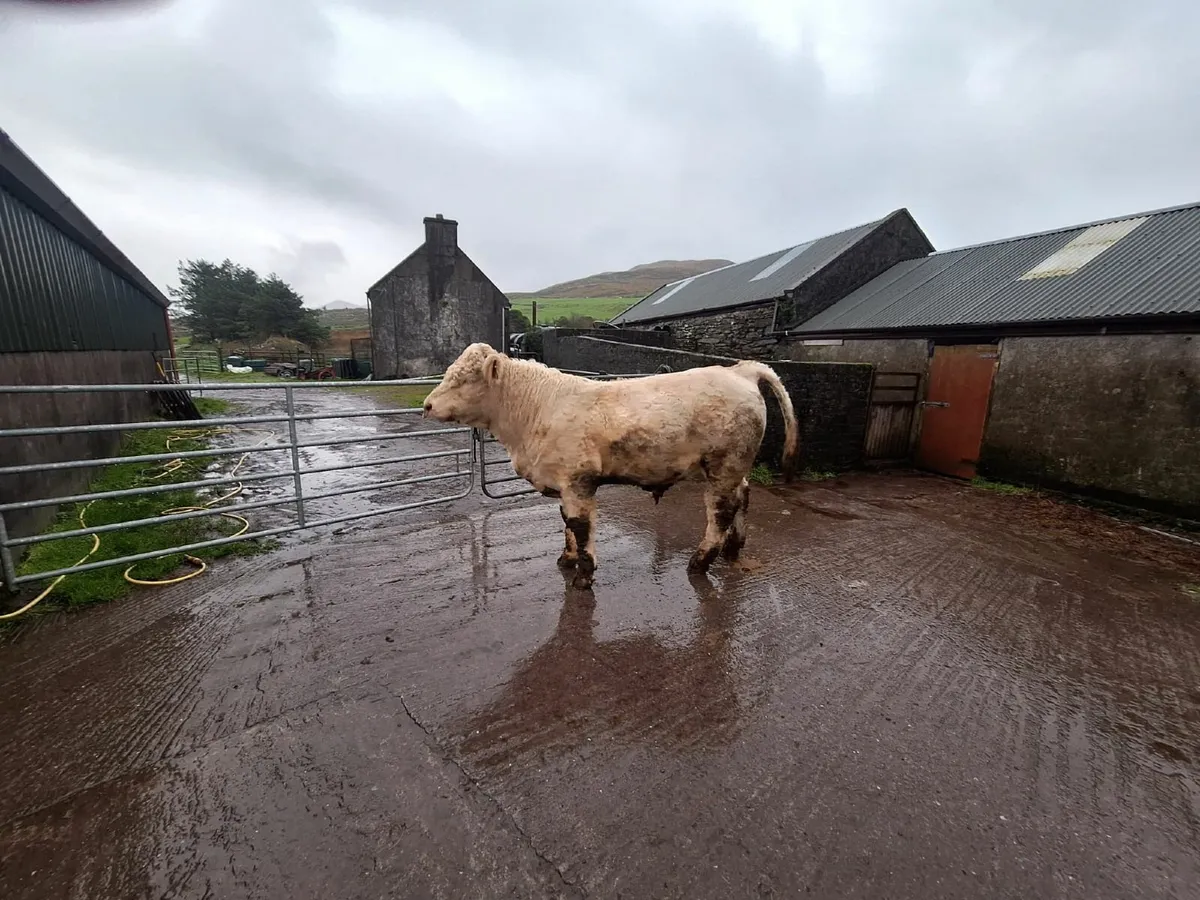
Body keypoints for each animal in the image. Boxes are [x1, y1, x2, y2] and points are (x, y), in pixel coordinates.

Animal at [421, 343, 799, 590]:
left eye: (465, 379)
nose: (426, 405)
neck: (535, 412)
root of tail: (740, 370)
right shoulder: (564, 483)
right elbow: (567, 524)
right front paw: (567, 559)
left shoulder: (578, 482)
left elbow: (580, 526)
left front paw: (583, 576)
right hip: (735, 467)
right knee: (743, 497)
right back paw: (734, 549)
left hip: (723, 465)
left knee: (720, 511)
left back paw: (700, 562)